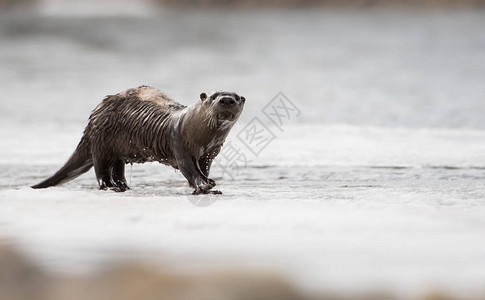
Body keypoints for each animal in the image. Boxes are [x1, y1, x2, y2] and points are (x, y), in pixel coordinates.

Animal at [33, 85, 246, 196]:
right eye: (213, 96)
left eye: (236, 97)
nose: (227, 99)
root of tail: (93, 117)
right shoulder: (179, 143)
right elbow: (189, 169)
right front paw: (204, 186)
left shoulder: (211, 152)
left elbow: (204, 168)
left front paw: (206, 182)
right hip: (101, 142)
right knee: (101, 168)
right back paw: (110, 186)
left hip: (117, 149)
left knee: (117, 167)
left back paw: (123, 185)